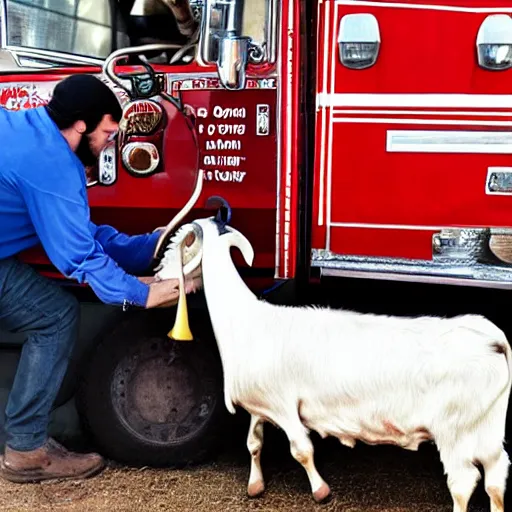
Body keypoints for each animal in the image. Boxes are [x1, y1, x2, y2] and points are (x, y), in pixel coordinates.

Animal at [158, 216, 510, 512]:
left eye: (181, 244)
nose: (159, 273)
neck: (243, 318)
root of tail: (488, 336)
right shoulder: (260, 406)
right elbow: (254, 443)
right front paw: (255, 485)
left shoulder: (283, 406)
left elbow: (301, 449)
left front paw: (321, 491)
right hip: (487, 431)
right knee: (495, 479)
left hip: (456, 433)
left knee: (463, 483)